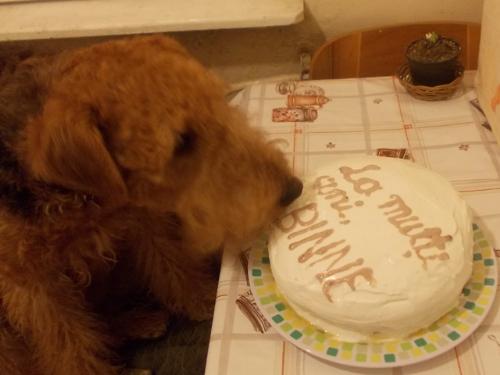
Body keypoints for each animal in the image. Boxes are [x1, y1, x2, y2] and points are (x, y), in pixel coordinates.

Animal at [0, 36, 300, 375]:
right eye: (181, 143)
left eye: (216, 101)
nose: (293, 189)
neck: (84, 199)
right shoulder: (35, 285)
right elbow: (68, 343)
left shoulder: (140, 217)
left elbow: (171, 264)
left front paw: (205, 300)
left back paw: (140, 321)